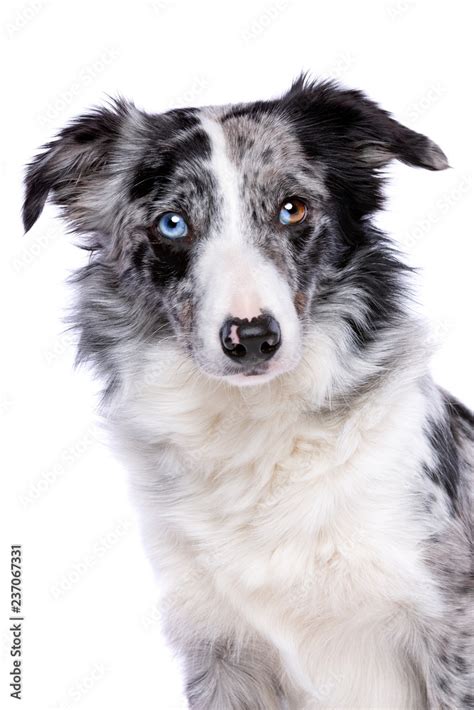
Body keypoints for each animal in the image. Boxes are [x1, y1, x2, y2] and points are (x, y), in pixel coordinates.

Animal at [24, 78, 472, 710]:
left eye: (293, 208)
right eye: (172, 224)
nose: (253, 338)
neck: (258, 432)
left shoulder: (451, 632)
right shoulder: (219, 648)